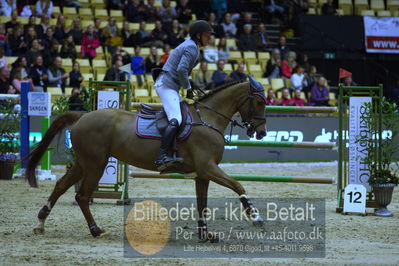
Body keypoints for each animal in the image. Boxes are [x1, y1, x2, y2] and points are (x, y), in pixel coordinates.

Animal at [25, 78, 268, 239]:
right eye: (259, 102)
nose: (262, 132)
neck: (208, 119)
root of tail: (82, 116)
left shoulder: (202, 174)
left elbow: (202, 204)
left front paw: (205, 234)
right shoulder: (208, 168)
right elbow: (237, 185)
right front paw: (254, 216)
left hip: (84, 163)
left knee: (61, 186)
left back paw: (40, 222)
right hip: (96, 164)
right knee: (82, 196)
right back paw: (95, 230)